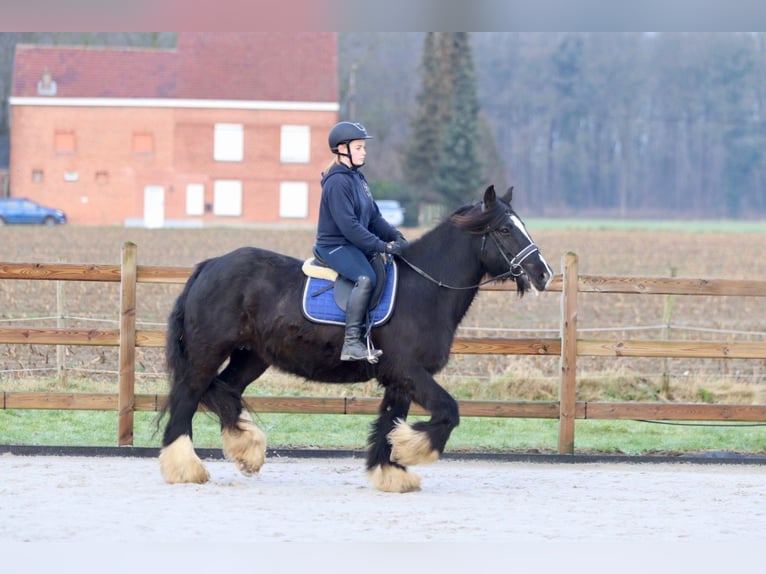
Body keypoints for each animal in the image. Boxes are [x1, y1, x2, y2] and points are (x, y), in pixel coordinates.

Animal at [160, 184, 560, 496]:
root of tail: (210, 265)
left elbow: (388, 423)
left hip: (252, 357)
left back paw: (247, 449)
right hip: (207, 353)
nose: (543, 274)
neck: (425, 288)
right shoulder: (409, 371)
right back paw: (185, 467)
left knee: (223, 390)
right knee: (189, 397)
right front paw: (410, 451)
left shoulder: (399, 380)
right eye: (505, 229)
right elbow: (448, 411)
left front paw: (392, 470)